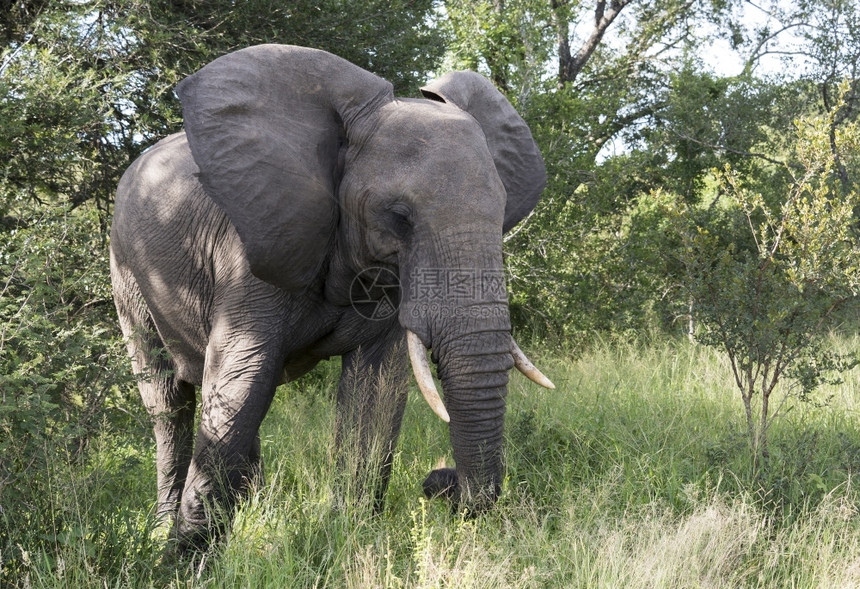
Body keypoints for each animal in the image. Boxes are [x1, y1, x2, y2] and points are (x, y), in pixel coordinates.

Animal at [109, 43, 552, 548]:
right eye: (398, 217)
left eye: (502, 212)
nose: (439, 481)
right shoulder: (255, 242)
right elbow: (244, 380)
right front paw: (188, 555)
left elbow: (374, 390)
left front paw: (352, 532)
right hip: (126, 272)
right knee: (171, 404)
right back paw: (165, 529)